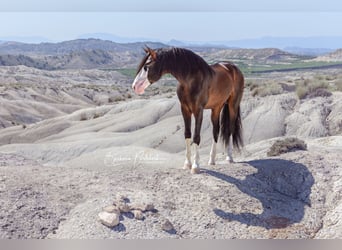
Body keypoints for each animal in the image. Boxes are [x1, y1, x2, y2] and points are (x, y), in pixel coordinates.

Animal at [132, 46, 244, 174]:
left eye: (146, 67)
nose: (135, 86)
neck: (190, 80)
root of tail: (233, 67)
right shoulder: (185, 110)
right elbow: (187, 134)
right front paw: (187, 164)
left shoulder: (198, 110)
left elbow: (196, 137)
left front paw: (195, 166)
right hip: (216, 107)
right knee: (216, 131)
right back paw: (212, 160)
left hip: (233, 105)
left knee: (230, 129)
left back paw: (229, 157)